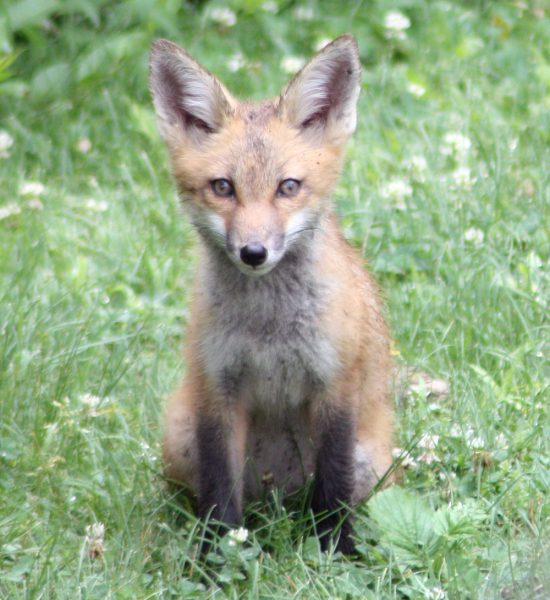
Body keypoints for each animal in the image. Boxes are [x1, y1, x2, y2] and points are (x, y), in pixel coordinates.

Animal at [149, 35, 394, 556]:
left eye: (288, 187)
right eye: (223, 187)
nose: (254, 252)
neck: (268, 330)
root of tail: (279, 495)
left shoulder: (336, 385)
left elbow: (333, 488)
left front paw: (336, 554)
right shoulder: (217, 390)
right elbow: (219, 496)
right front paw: (214, 562)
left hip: (370, 458)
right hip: (180, 433)